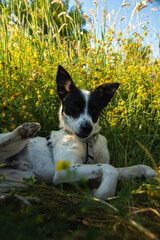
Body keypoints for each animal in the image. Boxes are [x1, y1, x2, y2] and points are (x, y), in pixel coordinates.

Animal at [0, 65, 158, 199]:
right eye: (74, 107)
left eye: (95, 110)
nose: (87, 127)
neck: (87, 142)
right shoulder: (65, 170)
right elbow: (110, 169)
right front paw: (103, 193)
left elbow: (128, 168)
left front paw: (150, 172)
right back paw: (26, 129)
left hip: (23, 179)